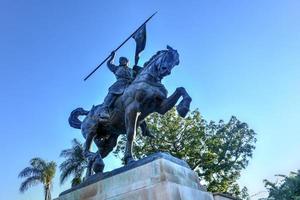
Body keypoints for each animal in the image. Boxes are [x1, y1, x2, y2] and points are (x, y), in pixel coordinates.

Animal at [69, 45, 191, 177]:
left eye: (177, 62)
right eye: (168, 55)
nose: (165, 70)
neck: (149, 80)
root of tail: (87, 115)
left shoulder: (160, 107)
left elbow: (181, 89)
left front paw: (183, 108)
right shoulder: (132, 109)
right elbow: (131, 134)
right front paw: (130, 159)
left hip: (108, 141)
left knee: (96, 155)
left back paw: (92, 173)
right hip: (91, 129)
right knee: (86, 150)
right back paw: (95, 161)